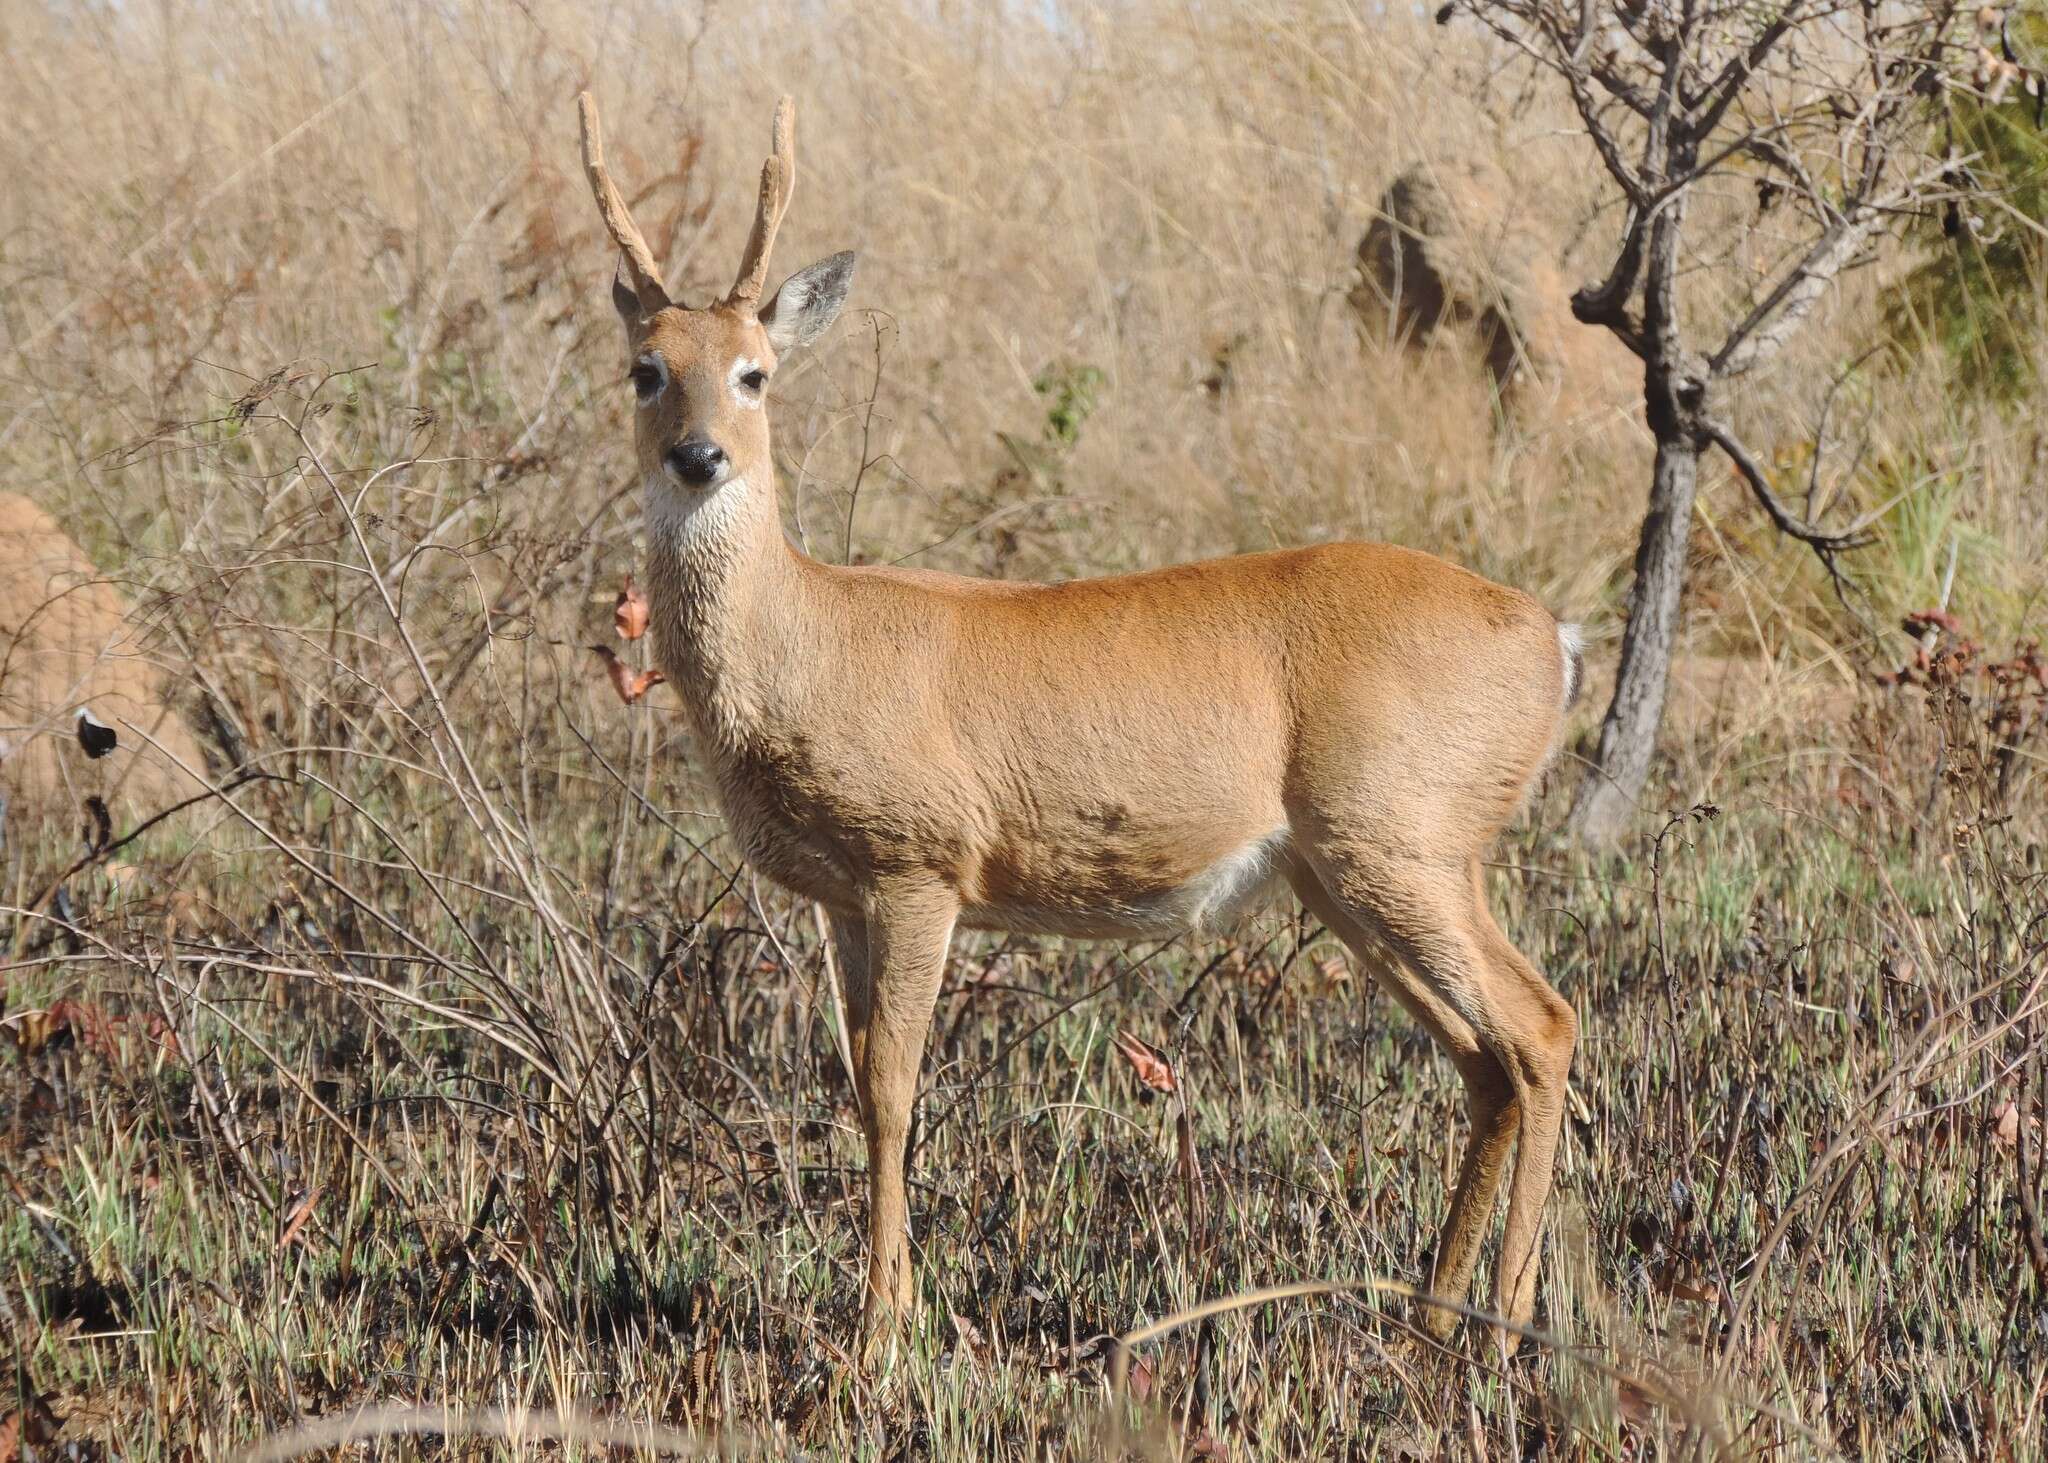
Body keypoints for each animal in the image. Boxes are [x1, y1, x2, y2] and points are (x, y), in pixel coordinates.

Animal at [573, 88, 1581, 1344]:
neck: (807, 637)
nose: (698, 455)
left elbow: (893, 1088)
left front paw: (882, 1324)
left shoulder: (920, 862)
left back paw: (1503, 1324)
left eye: (754, 372)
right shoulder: (842, 891)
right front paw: (888, 1303)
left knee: (1539, 1027)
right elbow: (856, 1080)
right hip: (1349, 872)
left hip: (1401, 836)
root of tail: (1549, 635)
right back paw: (1433, 1318)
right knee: (1483, 1057)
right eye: (644, 369)